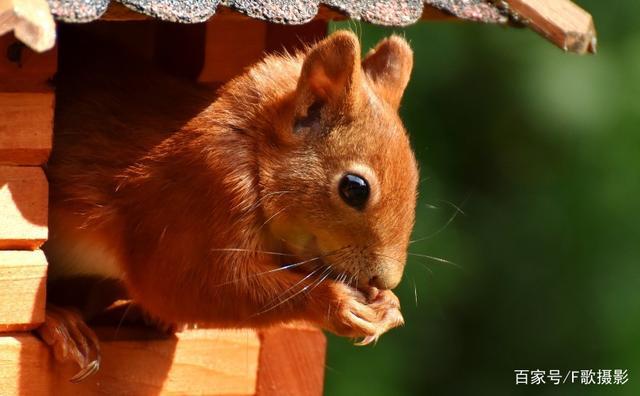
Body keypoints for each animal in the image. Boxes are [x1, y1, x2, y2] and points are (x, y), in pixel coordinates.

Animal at [41, 31, 420, 378]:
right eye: (354, 189)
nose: (385, 280)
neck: (253, 149)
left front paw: (388, 305)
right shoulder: (191, 196)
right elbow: (180, 286)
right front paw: (336, 303)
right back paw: (60, 321)